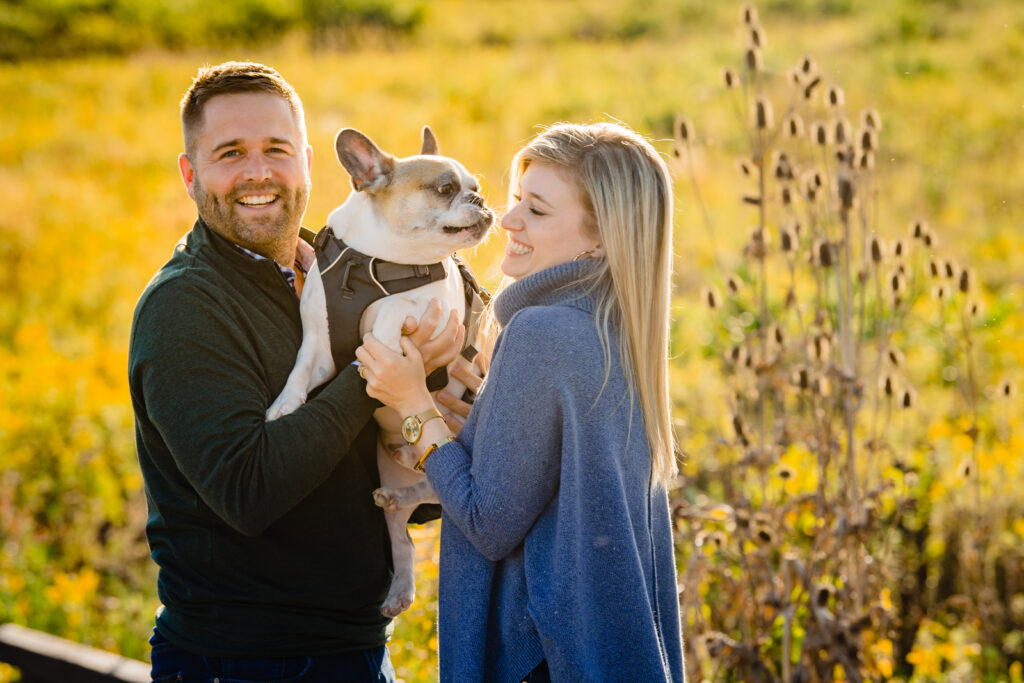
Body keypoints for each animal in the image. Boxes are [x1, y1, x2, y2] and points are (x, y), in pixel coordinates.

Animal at [266, 125, 493, 618]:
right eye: (445, 189)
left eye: (475, 188)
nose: (482, 201)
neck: (377, 263)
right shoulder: (319, 348)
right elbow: (298, 373)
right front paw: (283, 406)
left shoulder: (435, 312)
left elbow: (393, 310)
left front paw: (383, 339)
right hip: (393, 483)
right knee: (405, 530)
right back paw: (399, 575)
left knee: (441, 490)